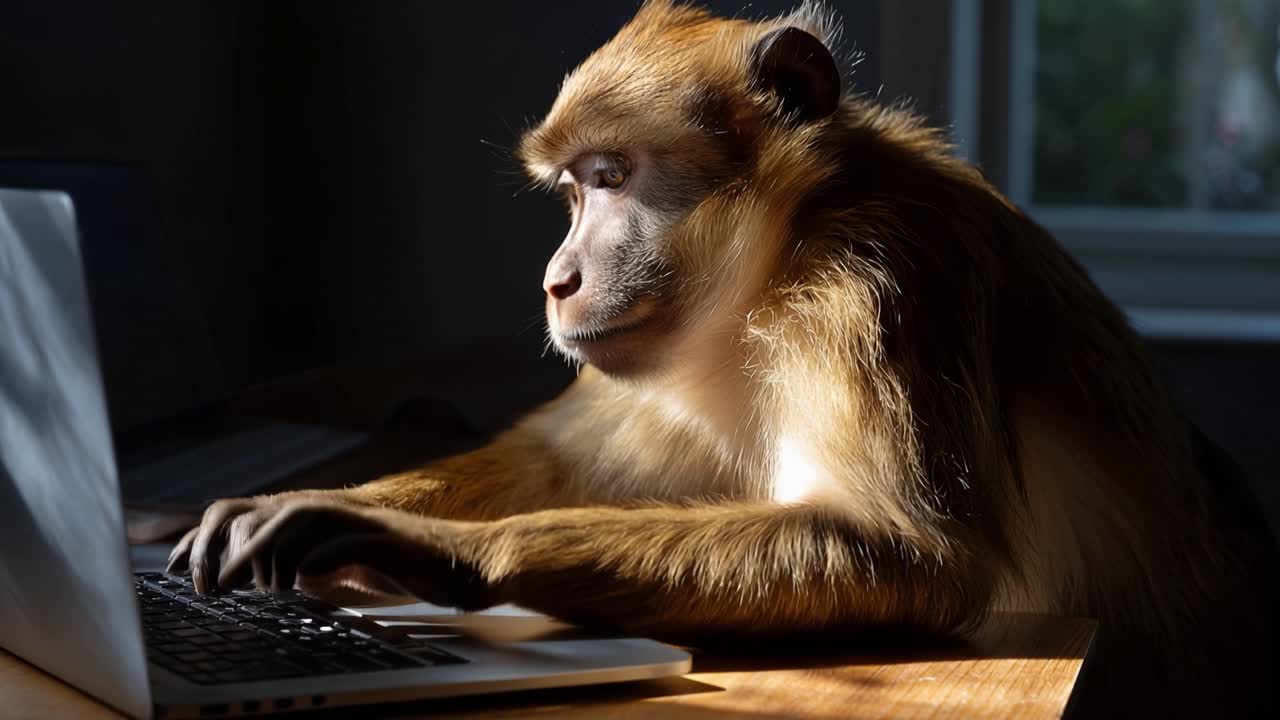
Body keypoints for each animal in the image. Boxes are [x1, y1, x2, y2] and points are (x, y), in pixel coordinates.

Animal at [169, 2, 1276, 715]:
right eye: (570, 191)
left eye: (611, 179)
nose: (556, 279)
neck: (782, 257)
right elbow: (555, 463)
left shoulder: (879, 281)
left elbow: (912, 556)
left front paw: (424, 547)